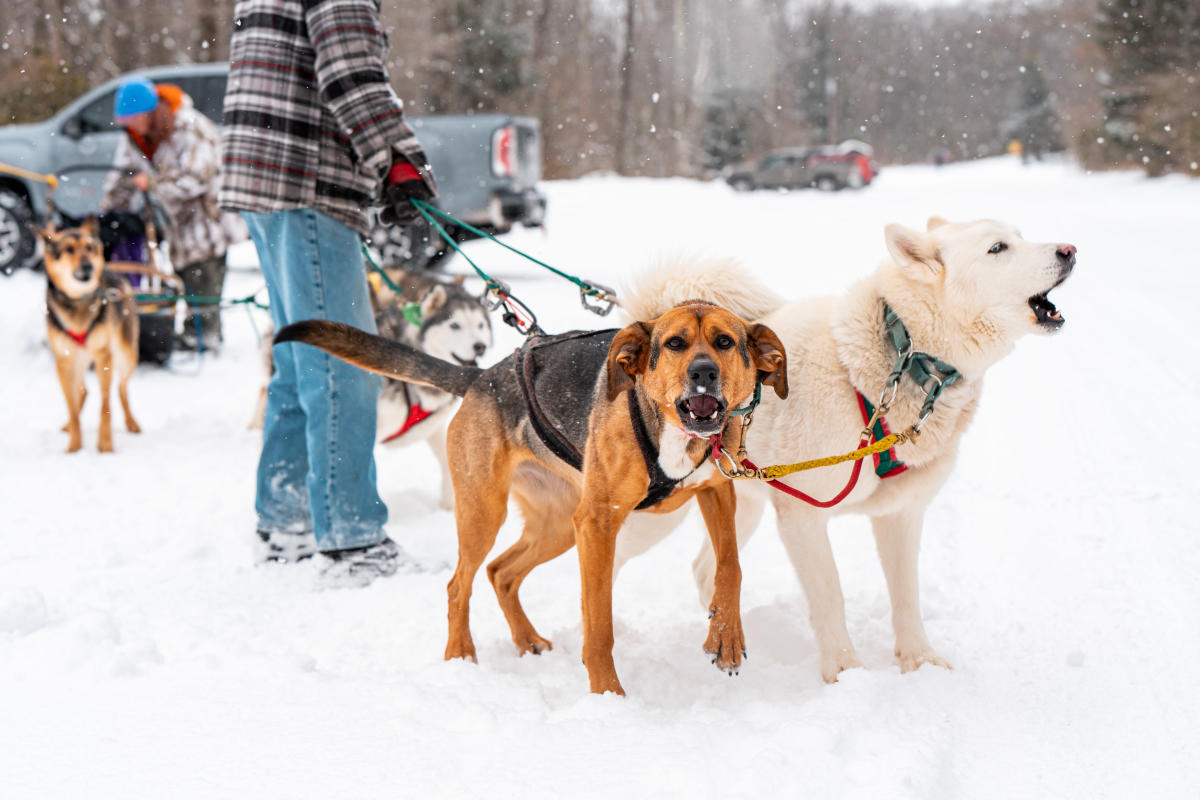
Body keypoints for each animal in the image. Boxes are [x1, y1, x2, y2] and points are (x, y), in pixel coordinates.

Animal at [36, 219, 140, 453]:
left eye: (90, 248)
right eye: (68, 250)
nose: (88, 266)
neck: (78, 301)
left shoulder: (104, 356)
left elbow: (105, 405)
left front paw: (106, 446)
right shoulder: (64, 360)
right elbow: (72, 408)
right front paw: (74, 447)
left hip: (126, 355)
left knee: (121, 389)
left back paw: (132, 423)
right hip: (78, 359)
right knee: (82, 392)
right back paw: (68, 425)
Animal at [277, 299, 792, 695]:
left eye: (724, 342)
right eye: (674, 344)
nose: (704, 372)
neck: (672, 433)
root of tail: (481, 378)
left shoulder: (717, 489)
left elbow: (730, 565)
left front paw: (725, 635)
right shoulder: (599, 523)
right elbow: (599, 624)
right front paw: (608, 696)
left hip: (558, 523)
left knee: (500, 572)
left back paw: (526, 642)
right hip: (487, 511)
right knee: (459, 583)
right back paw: (460, 655)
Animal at [614, 219, 1075, 681]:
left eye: (1020, 235)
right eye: (997, 248)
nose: (1070, 250)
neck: (904, 360)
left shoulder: (901, 515)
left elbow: (906, 596)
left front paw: (919, 661)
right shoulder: (802, 516)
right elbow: (830, 595)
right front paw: (846, 672)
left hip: (741, 505)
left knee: (705, 569)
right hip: (653, 516)